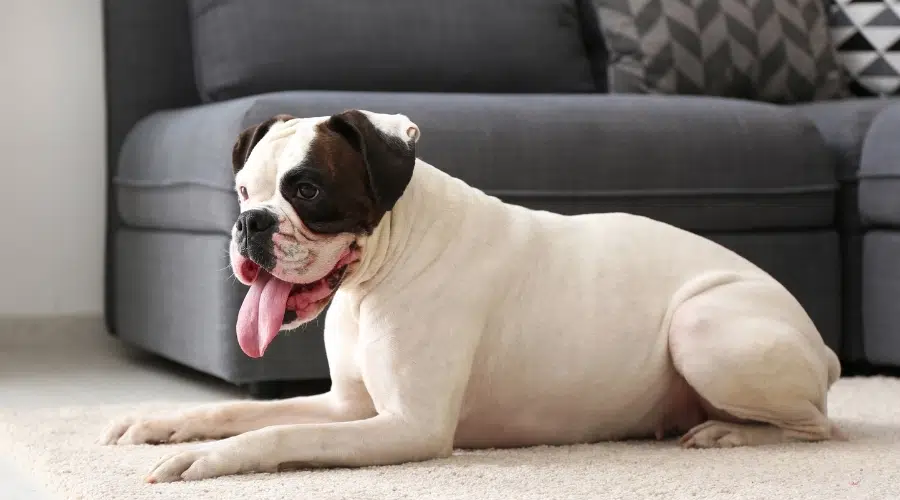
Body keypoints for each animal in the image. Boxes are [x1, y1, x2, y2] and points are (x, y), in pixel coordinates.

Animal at [100, 110, 844, 484]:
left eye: (307, 189)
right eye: (243, 192)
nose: (249, 225)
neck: (381, 270)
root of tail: (824, 345)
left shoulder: (408, 427)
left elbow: (278, 430)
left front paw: (206, 461)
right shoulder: (348, 405)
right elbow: (235, 409)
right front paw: (161, 422)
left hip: (700, 324)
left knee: (816, 427)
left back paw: (727, 431)